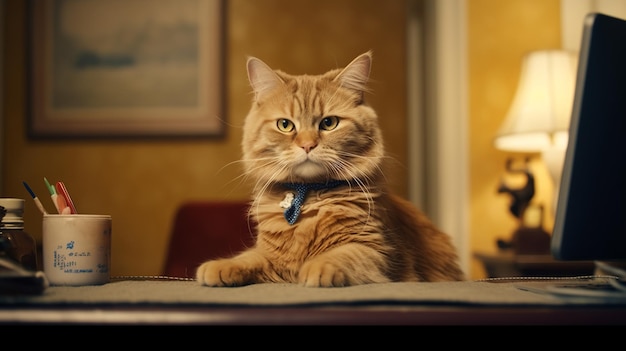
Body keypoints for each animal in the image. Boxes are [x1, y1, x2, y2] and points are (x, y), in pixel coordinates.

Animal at [195, 53, 464, 288]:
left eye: (329, 123)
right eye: (285, 125)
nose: (307, 145)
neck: (309, 197)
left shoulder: (377, 251)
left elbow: (342, 255)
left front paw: (316, 268)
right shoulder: (271, 254)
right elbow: (248, 257)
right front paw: (220, 267)